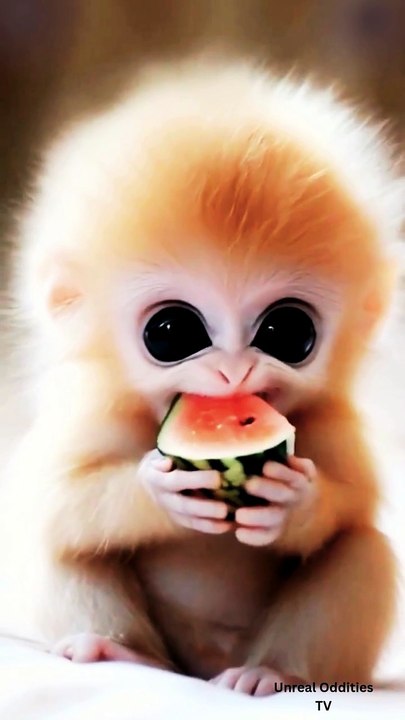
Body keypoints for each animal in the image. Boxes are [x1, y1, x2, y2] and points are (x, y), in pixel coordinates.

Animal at [0, 58, 402, 696]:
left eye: (288, 333)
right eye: (171, 332)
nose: (234, 370)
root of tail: (204, 664)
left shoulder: (336, 424)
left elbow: (351, 506)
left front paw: (295, 501)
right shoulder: (92, 414)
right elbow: (49, 497)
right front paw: (157, 492)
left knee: (364, 551)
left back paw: (272, 672)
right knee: (59, 542)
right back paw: (122, 654)